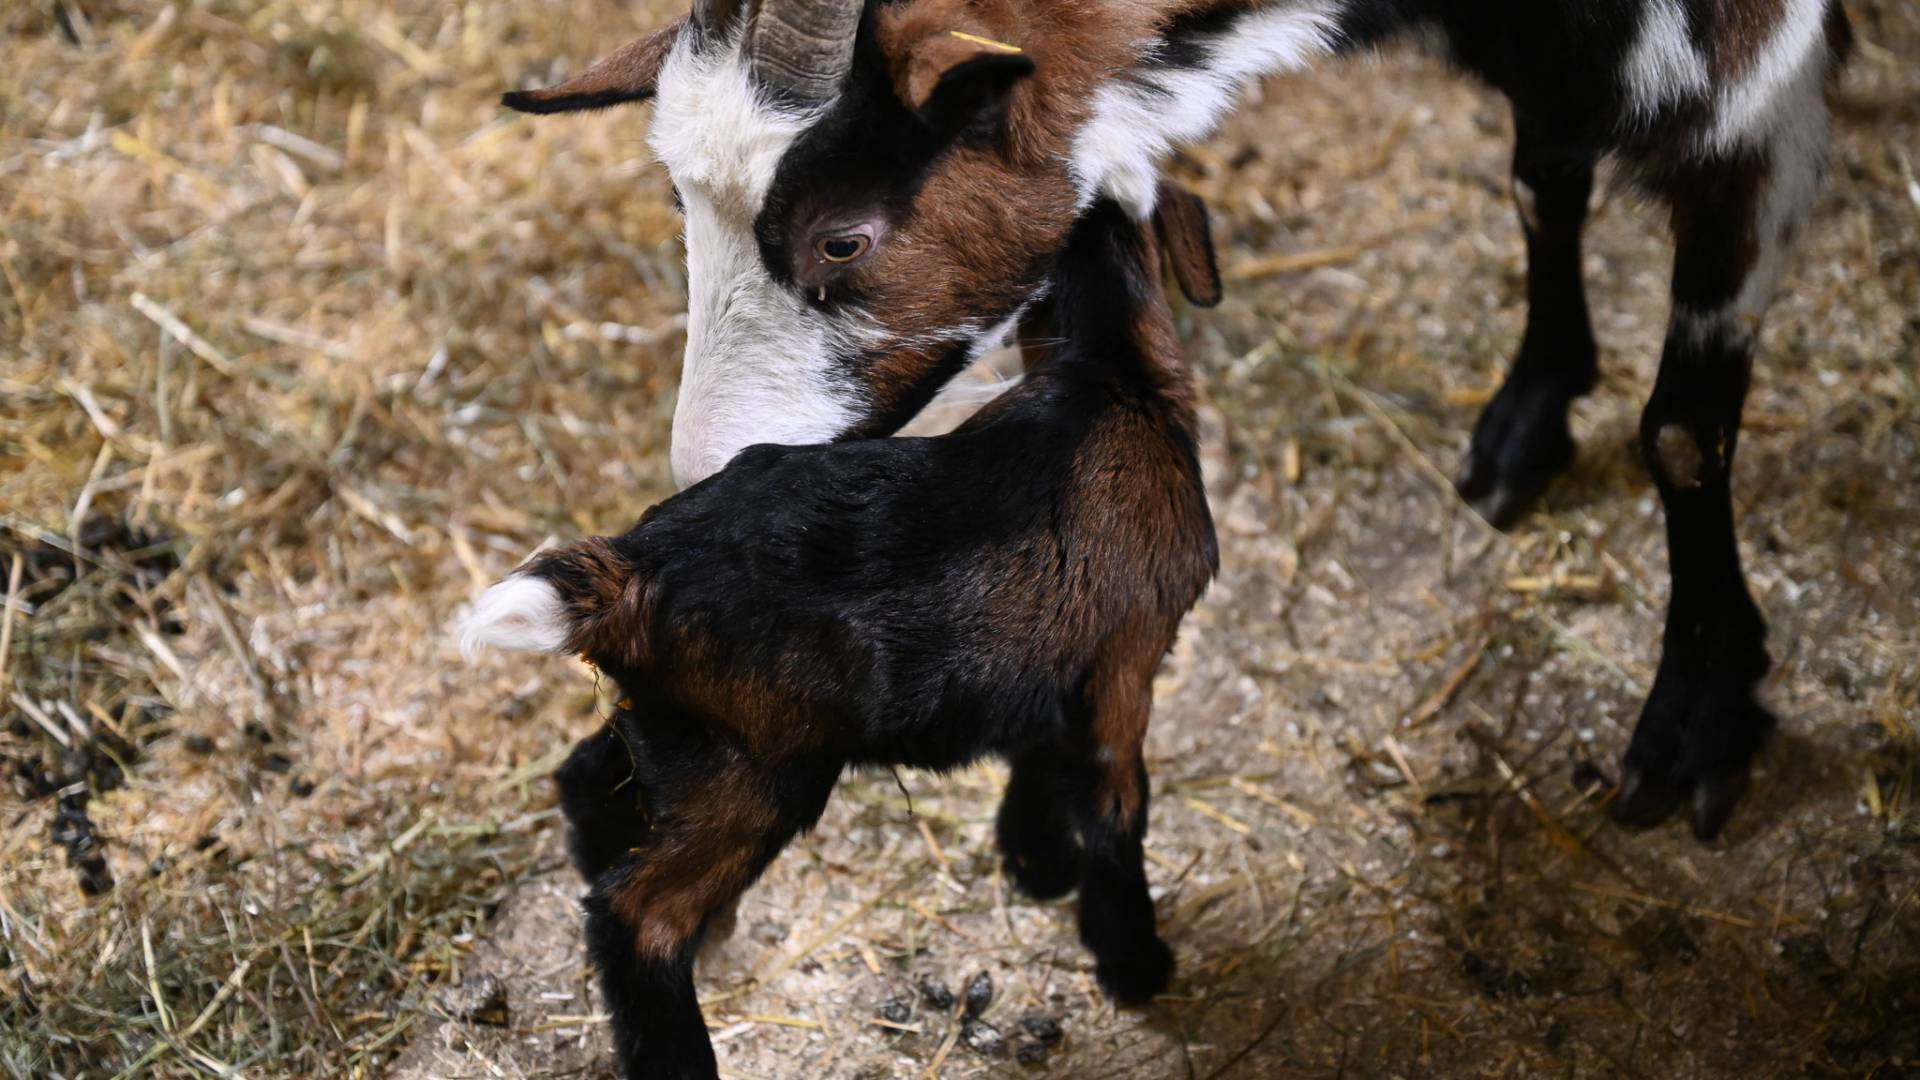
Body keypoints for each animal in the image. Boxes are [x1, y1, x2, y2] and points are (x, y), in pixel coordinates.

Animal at [460, 196, 1219, 1080]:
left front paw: (1036, 868)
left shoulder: (1044, 668)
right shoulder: (1127, 660)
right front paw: (1135, 966)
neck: (1111, 374)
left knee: (587, 781)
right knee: (641, 913)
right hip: (758, 772)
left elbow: (1041, 762)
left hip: (678, 727)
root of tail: (630, 575)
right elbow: (1114, 803)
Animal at [504, 0, 1854, 841]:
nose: (710, 469)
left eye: (843, 237)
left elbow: (1681, 429)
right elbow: (1541, 177)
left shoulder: (1757, 85)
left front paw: (1699, 716)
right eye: (679, 204)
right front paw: (1531, 411)